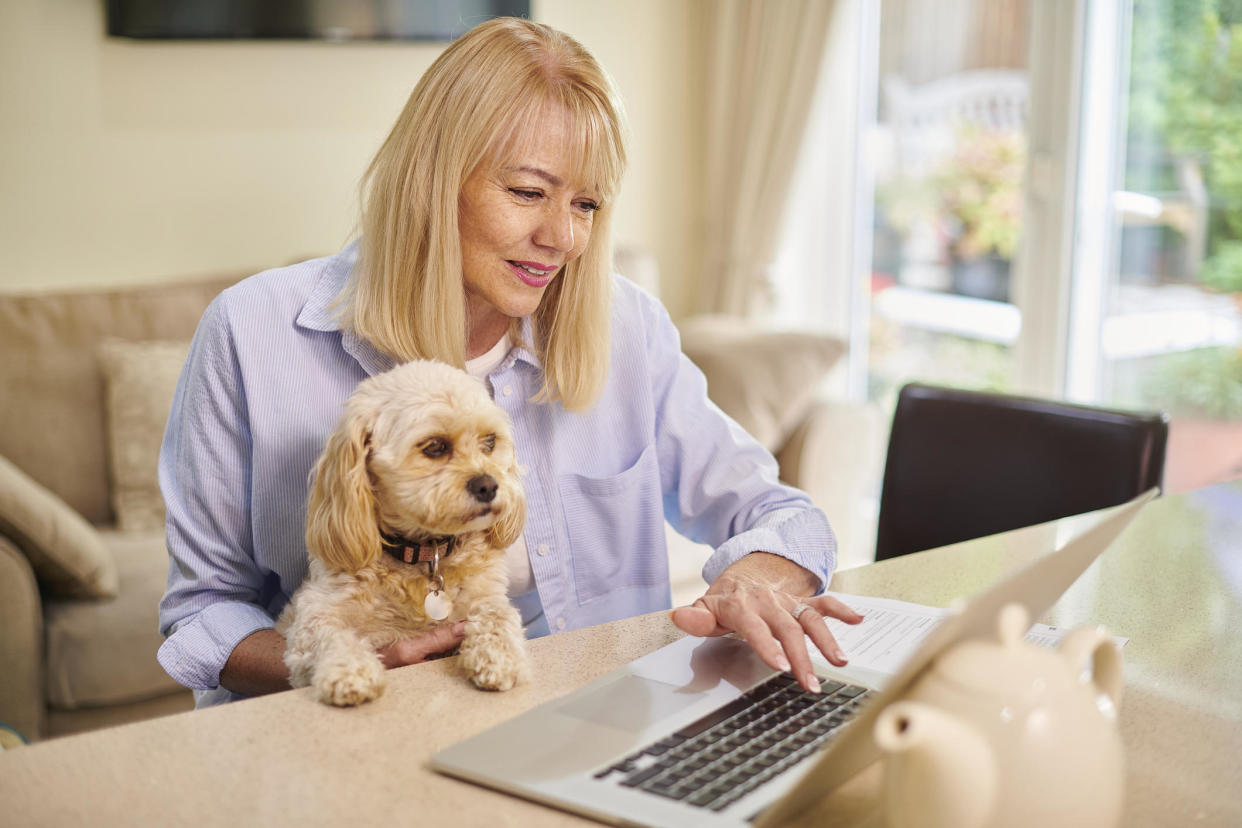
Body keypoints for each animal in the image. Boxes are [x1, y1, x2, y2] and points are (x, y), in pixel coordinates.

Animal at [279, 360, 531, 710]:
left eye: (490, 442)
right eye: (435, 447)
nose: (488, 485)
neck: (425, 552)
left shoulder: (485, 599)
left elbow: (498, 616)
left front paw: (498, 657)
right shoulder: (310, 623)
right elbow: (332, 635)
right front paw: (349, 671)